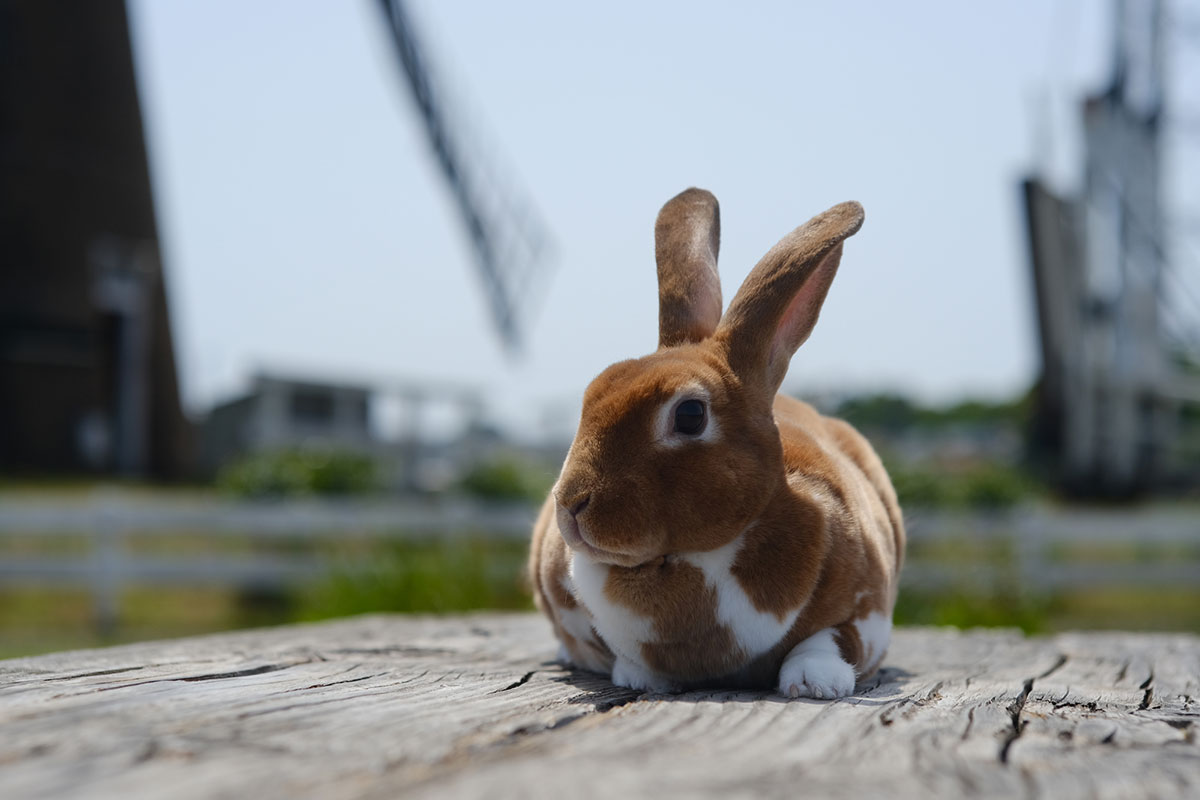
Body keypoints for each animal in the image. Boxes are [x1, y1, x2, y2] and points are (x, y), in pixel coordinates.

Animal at [530, 188, 902, 700]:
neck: (697, 559)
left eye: (690, 415)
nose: (570, 506)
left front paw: (815, 683)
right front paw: (637, 675)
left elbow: (832, 638)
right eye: (590, 394)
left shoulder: (871, 614)